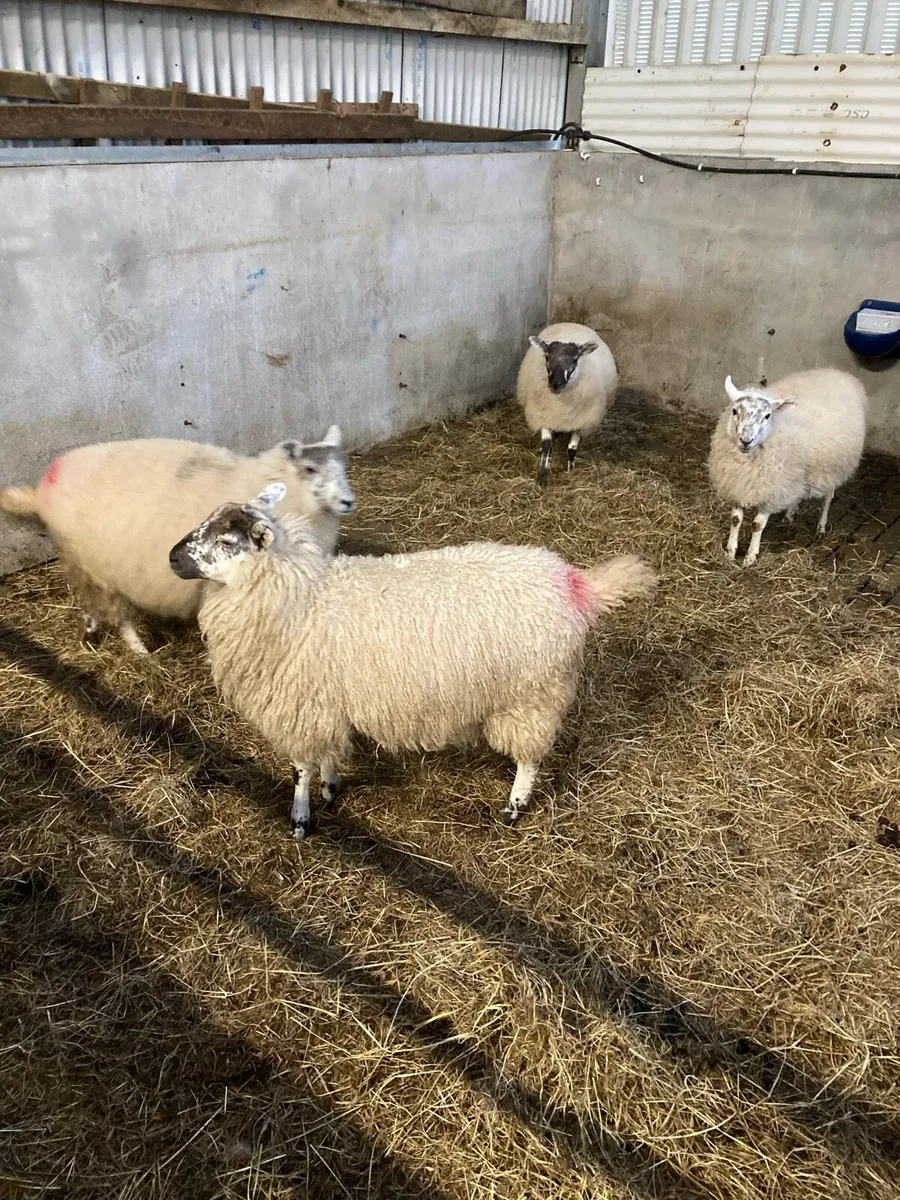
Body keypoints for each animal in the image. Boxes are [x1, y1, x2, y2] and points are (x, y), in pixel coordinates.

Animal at [0, 427, 355, 654]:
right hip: (94, 565)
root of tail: (42, 490)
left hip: (84, 564)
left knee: (91, 603)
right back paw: (141, 652)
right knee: (116, 613)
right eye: (309, 468)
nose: (349, 502)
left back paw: (90, 632)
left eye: (343, 465)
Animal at [169, 483, 656, 838]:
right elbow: (325, 755)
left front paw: (300, 819)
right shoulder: (324, 700)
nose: (172, 556)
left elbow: (300, 769)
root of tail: (575, 583)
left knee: (531, 757)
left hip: (532, 695)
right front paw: (330, 786)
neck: (299, 592)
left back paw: (515, 805)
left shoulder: (301, 704)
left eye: (227, 540)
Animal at [516, 322, 618, 486]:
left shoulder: (582, 421)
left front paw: (571, 469)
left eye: (575, 360)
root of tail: (570, 323)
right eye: (547, 356)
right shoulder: (543, 415)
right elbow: (546, 445)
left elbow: (572, 447)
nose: (555, 385)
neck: (561, 406)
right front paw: (542, 475)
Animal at [707, 369, 867, 567]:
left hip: (833, 467)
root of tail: (842, 373)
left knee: (828, 497)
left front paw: (750, 557)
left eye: (767, 416)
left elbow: (757, 525)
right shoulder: (737, 486)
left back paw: (821, 527)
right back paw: (789, 514)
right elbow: (736, 520)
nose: (745, 441)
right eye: (735, 411)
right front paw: (730, 553)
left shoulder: (772, 493)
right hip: (799, 475)